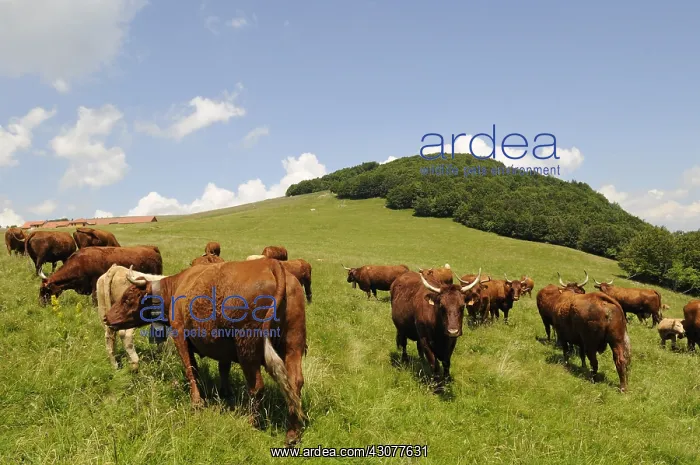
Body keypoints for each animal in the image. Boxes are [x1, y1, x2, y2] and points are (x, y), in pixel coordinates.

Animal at [103, 258, 306, 446]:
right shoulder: (222, 346)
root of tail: (270, 264)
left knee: (256, 386)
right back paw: (292, 433)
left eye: (127, 298)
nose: (106, 317)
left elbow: (191, 369)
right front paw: (225, 392)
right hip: (293, 346)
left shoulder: (180, 336)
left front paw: (196, 402)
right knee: (295, 383)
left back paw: (252, 423)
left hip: (247, 349)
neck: (176, 287)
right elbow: (223, 368)